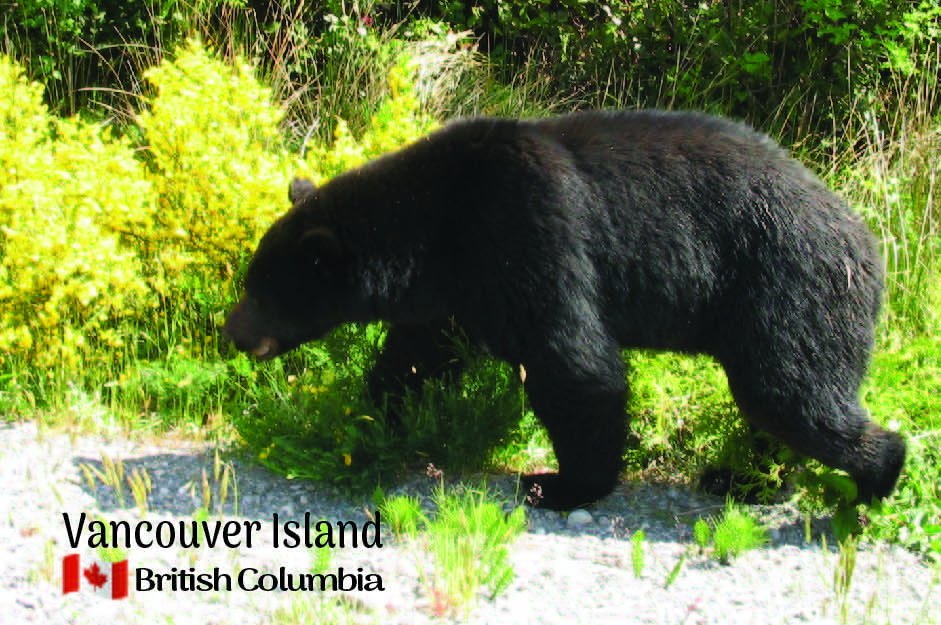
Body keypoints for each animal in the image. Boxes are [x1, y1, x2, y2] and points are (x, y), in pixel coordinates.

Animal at [223, 110, 906, 511]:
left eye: (261, 290)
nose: (231, 331)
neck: (435, 227)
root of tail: (870, 246)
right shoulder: (458, 290)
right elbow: (416, 355)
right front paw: (366, 423)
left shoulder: (527, 226)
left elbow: (573, 364)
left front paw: (557, 483)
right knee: (779, 408)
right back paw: (741, 479)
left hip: (791, 291)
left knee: (792, 394)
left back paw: (873, 482)